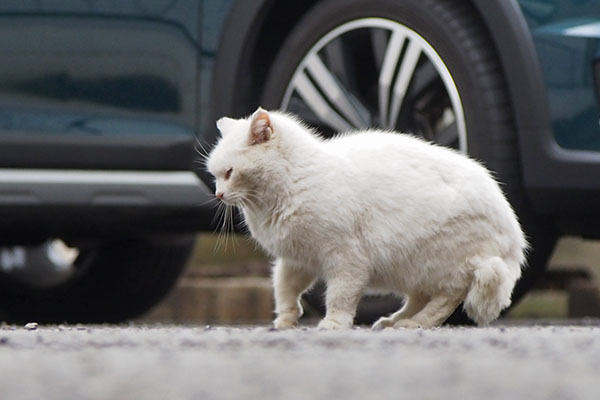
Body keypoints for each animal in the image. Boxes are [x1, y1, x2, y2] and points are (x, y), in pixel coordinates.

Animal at [206, 108, 524, 330]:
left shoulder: (346, 258)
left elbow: (339, 297)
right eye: (215, 175)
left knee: (449, 297)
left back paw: (415, 323)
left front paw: (334, 324)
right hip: (410, 267)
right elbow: (283, 287)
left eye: (229, 173)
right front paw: (285, 319)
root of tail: (514, 239)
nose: (218, 194)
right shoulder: (297, 258)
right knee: (420, 297)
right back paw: (392, 321)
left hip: (438, 261)